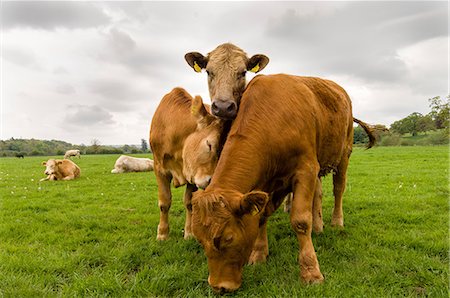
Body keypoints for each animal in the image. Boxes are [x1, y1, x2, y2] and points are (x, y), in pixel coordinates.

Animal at [191, 73, 376, 292]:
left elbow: (301, 221)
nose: (219, 286)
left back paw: (336, 221)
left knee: (338, 188)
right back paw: (318, 226)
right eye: (200, 240)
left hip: (344, 153)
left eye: (228, 238)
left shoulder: (306, 169)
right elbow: (262, 215)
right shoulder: (267, 183)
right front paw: (259, 254)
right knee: (318, 194)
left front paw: (311, 272)